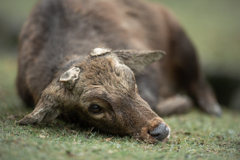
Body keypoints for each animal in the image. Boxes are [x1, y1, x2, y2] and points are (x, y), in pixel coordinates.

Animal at [15, 0, 221, 144]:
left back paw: (213, 108)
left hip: (183, 43)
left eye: (132, 79)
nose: (160, 131)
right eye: (95, 107)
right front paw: (181, 101)